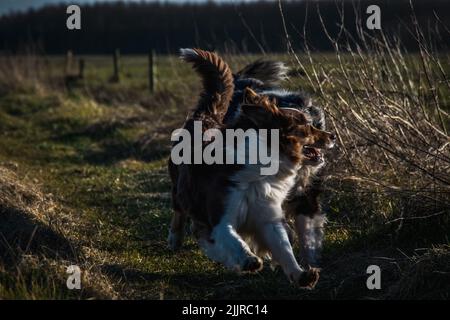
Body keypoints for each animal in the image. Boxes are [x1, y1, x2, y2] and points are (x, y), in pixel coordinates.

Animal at [168, 48, 334, 288]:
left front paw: (302, 272)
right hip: (179, 189)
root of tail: (206, 115)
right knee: (179, 210)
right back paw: (174, 238)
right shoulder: (219, 216)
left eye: (313, 122)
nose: (332, 135)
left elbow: (286, 245)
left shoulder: (269, 213)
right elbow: (231, 239)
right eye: (306, 126)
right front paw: (248, 259)